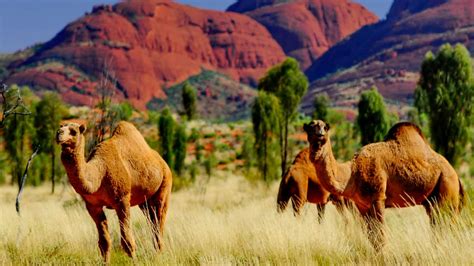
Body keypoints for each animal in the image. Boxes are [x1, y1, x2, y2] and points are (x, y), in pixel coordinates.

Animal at [57, 120, 172, 262]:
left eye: (74, 131)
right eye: (61, 127)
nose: (59, 134)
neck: (100, 172)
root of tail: (163, 162)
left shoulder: (122, 199)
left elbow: (127, 240)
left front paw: (134, 262)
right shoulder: (93, 205)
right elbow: (104, 242)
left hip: (165, 186)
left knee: (159, 222)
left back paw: (159, 256)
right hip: (144, 202)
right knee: (152, 222)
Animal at [306, 120, 464, 249]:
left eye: (325, 127)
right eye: (310, 127)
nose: (319, 134)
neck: (352, 173)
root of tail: (456, 175)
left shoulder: (378, 198)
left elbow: (380, 236)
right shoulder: (362, 205)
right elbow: (372, 238)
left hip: (447, 188)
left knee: (448, 225)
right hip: (432, 201)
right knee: (438, 226)